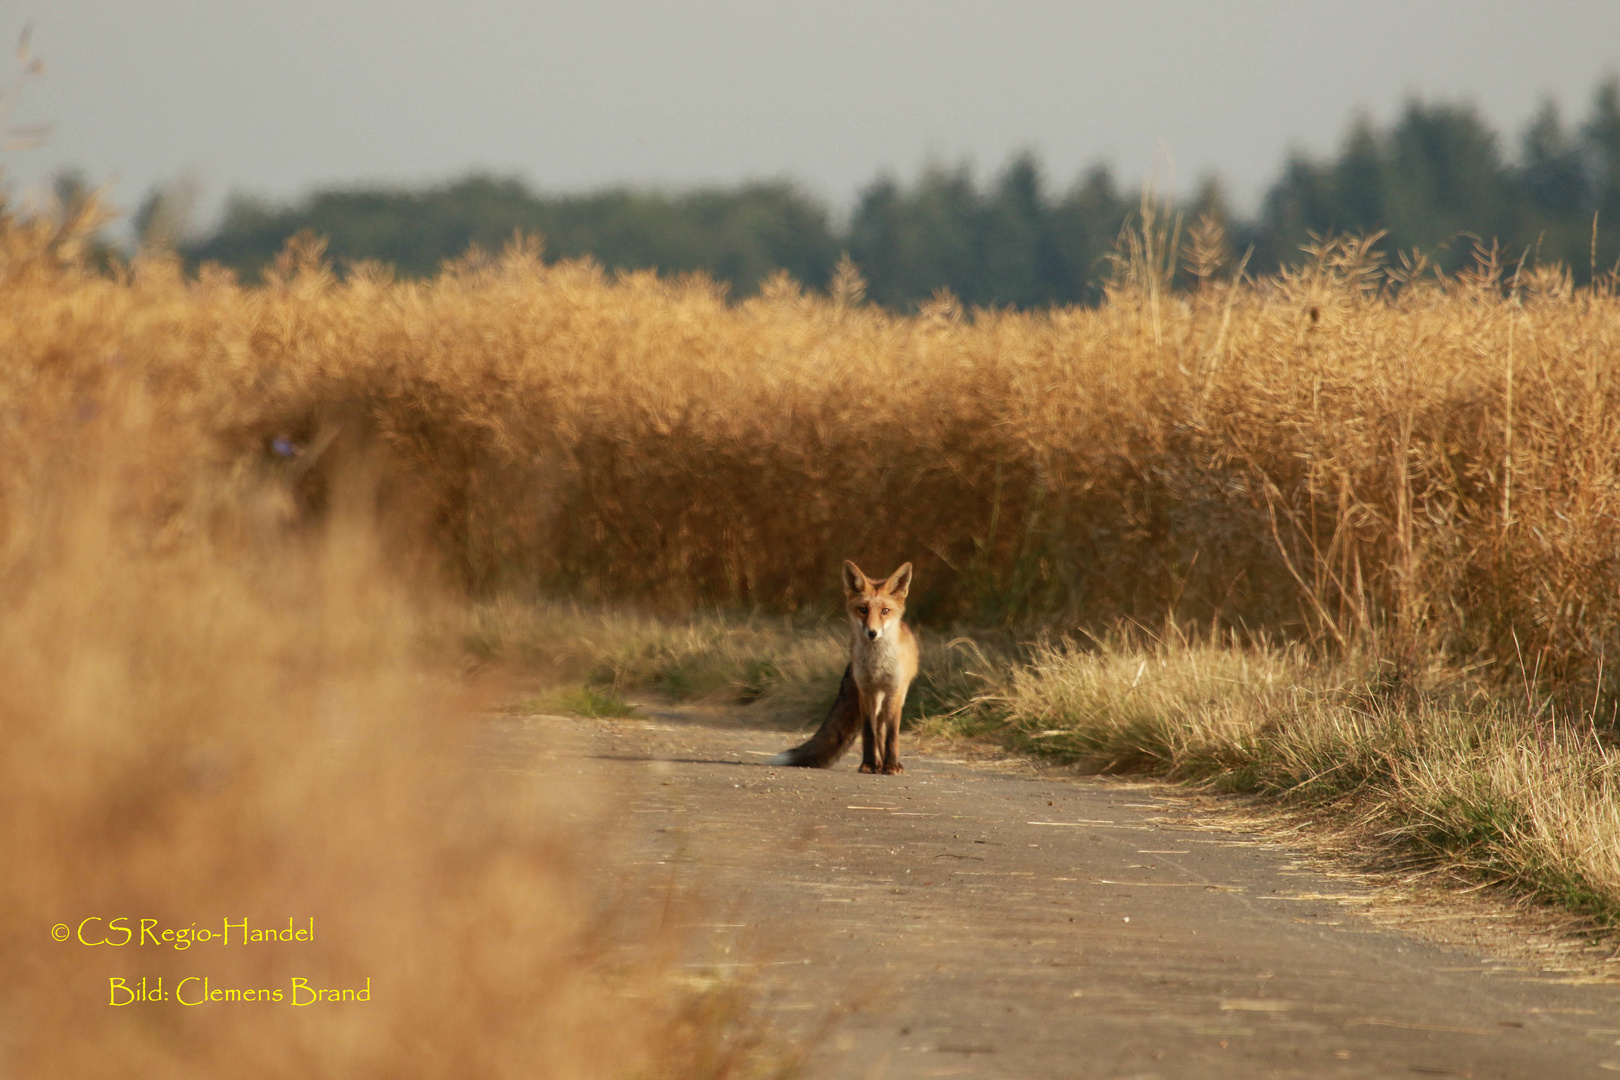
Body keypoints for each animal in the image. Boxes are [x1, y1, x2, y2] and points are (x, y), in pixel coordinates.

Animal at [764, 563, 920, 773]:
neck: (877, 664)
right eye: (863, 609)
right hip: (875, 697)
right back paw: (878, 764)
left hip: (894, 695)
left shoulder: (894, 691)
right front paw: (868, 764)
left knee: (884, 729)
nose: (872, 633)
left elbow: (892, 734)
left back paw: (885, 763)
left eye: (885, 610)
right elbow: (869, 732)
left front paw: (892, 765)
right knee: (878, 729)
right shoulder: (866, 690)